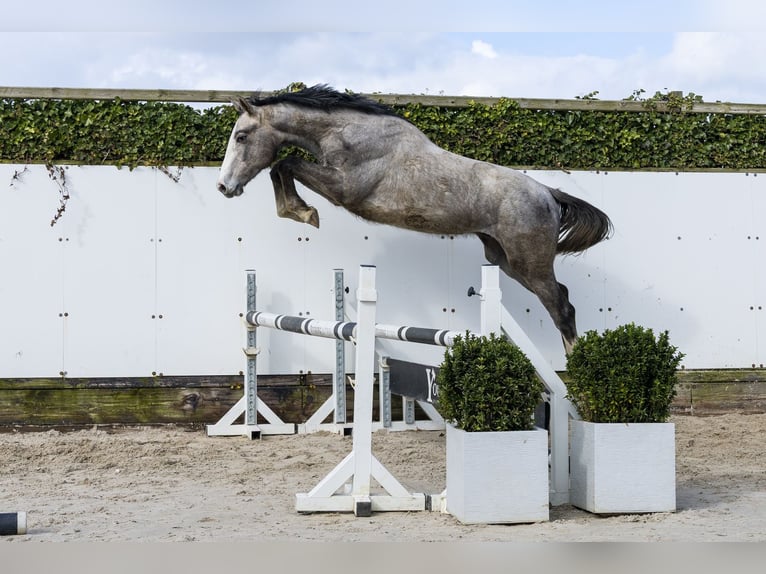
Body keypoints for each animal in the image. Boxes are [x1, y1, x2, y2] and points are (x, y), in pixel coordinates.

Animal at [216, 85, 612, 353]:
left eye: (242, 136)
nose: (224, 187)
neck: (345, 133)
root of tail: (547, 192)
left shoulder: (344, 189)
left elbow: (286, 163)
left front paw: (303, 212)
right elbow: (282, 166)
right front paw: (298, 211)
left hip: (530, 263)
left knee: (562, 307)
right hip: (505, 261)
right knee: (561, 299)